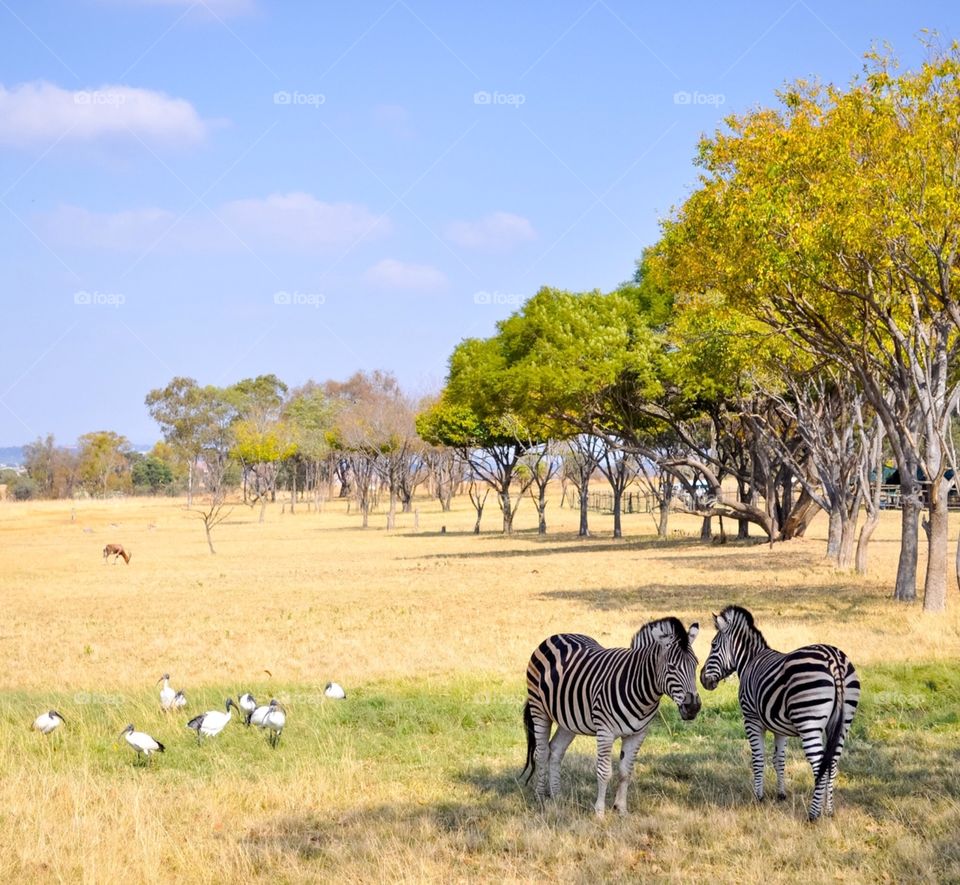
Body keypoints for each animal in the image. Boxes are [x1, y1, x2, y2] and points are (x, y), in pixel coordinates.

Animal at [520, 616, 700, 816]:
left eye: (696, 665)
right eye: (671, 667)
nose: (693, 707)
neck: (641, 689)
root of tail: (557, 635)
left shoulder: (638, 734)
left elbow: (625, 772)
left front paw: (621, 810)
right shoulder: (605, 732)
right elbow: (605, 772)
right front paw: (599, 812)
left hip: (569, 719)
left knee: (556, 750)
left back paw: (557, 797)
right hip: (539, 709)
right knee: (541, 752)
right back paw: (540, 797)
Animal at [696, 604, 864, 820]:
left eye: (713, 645)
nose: (703, 679)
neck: (749, 661)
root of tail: (833, 659)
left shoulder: (751, 719)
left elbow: (758, 759)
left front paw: (758, 797)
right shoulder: (780, 727)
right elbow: (779, 760)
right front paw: (781, 794)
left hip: (808, 720)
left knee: (819, 764)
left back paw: (813, 815)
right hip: (842, 722)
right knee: (832, 762)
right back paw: (829, 811)